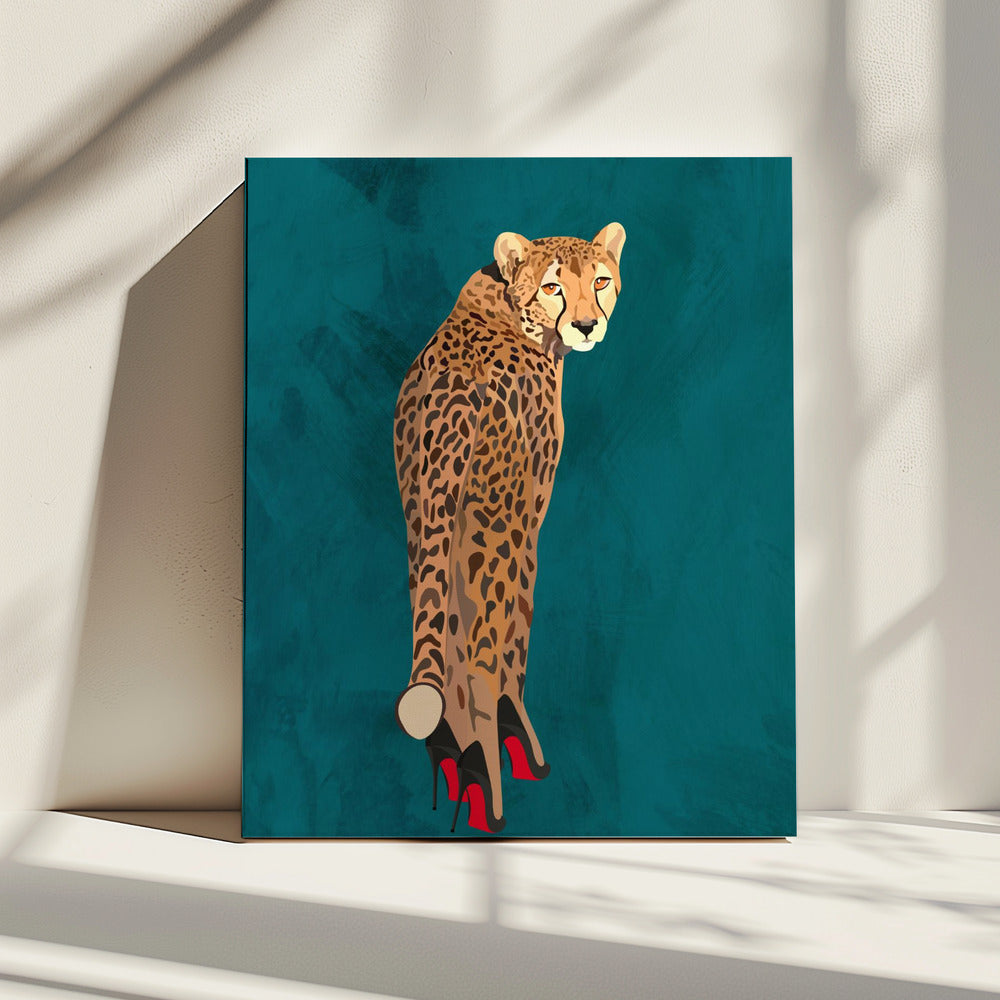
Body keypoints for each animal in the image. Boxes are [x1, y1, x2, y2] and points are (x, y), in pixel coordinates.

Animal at [392, 222, 626, 831]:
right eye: (553, 287)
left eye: (600, 281)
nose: (587, 325)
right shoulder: (527, 509)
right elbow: (517, 623)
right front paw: (512, 731)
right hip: (490, 526)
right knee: (478, 650)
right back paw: (487, 778)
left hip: (424, 517)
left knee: (444, 630)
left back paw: (454, 752)